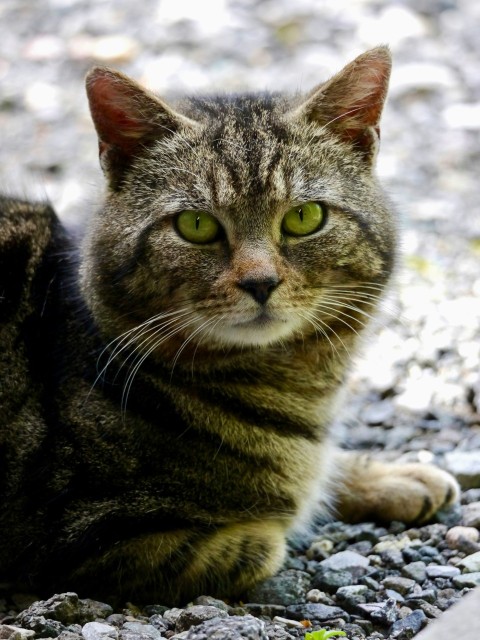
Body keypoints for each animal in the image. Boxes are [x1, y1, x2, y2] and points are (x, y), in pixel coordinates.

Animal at [0, 47, 458, 608]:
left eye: (305, 217)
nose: (260, 282)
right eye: (196, 226)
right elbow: (266, 543)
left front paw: (391, 475)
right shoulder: (79, 534)